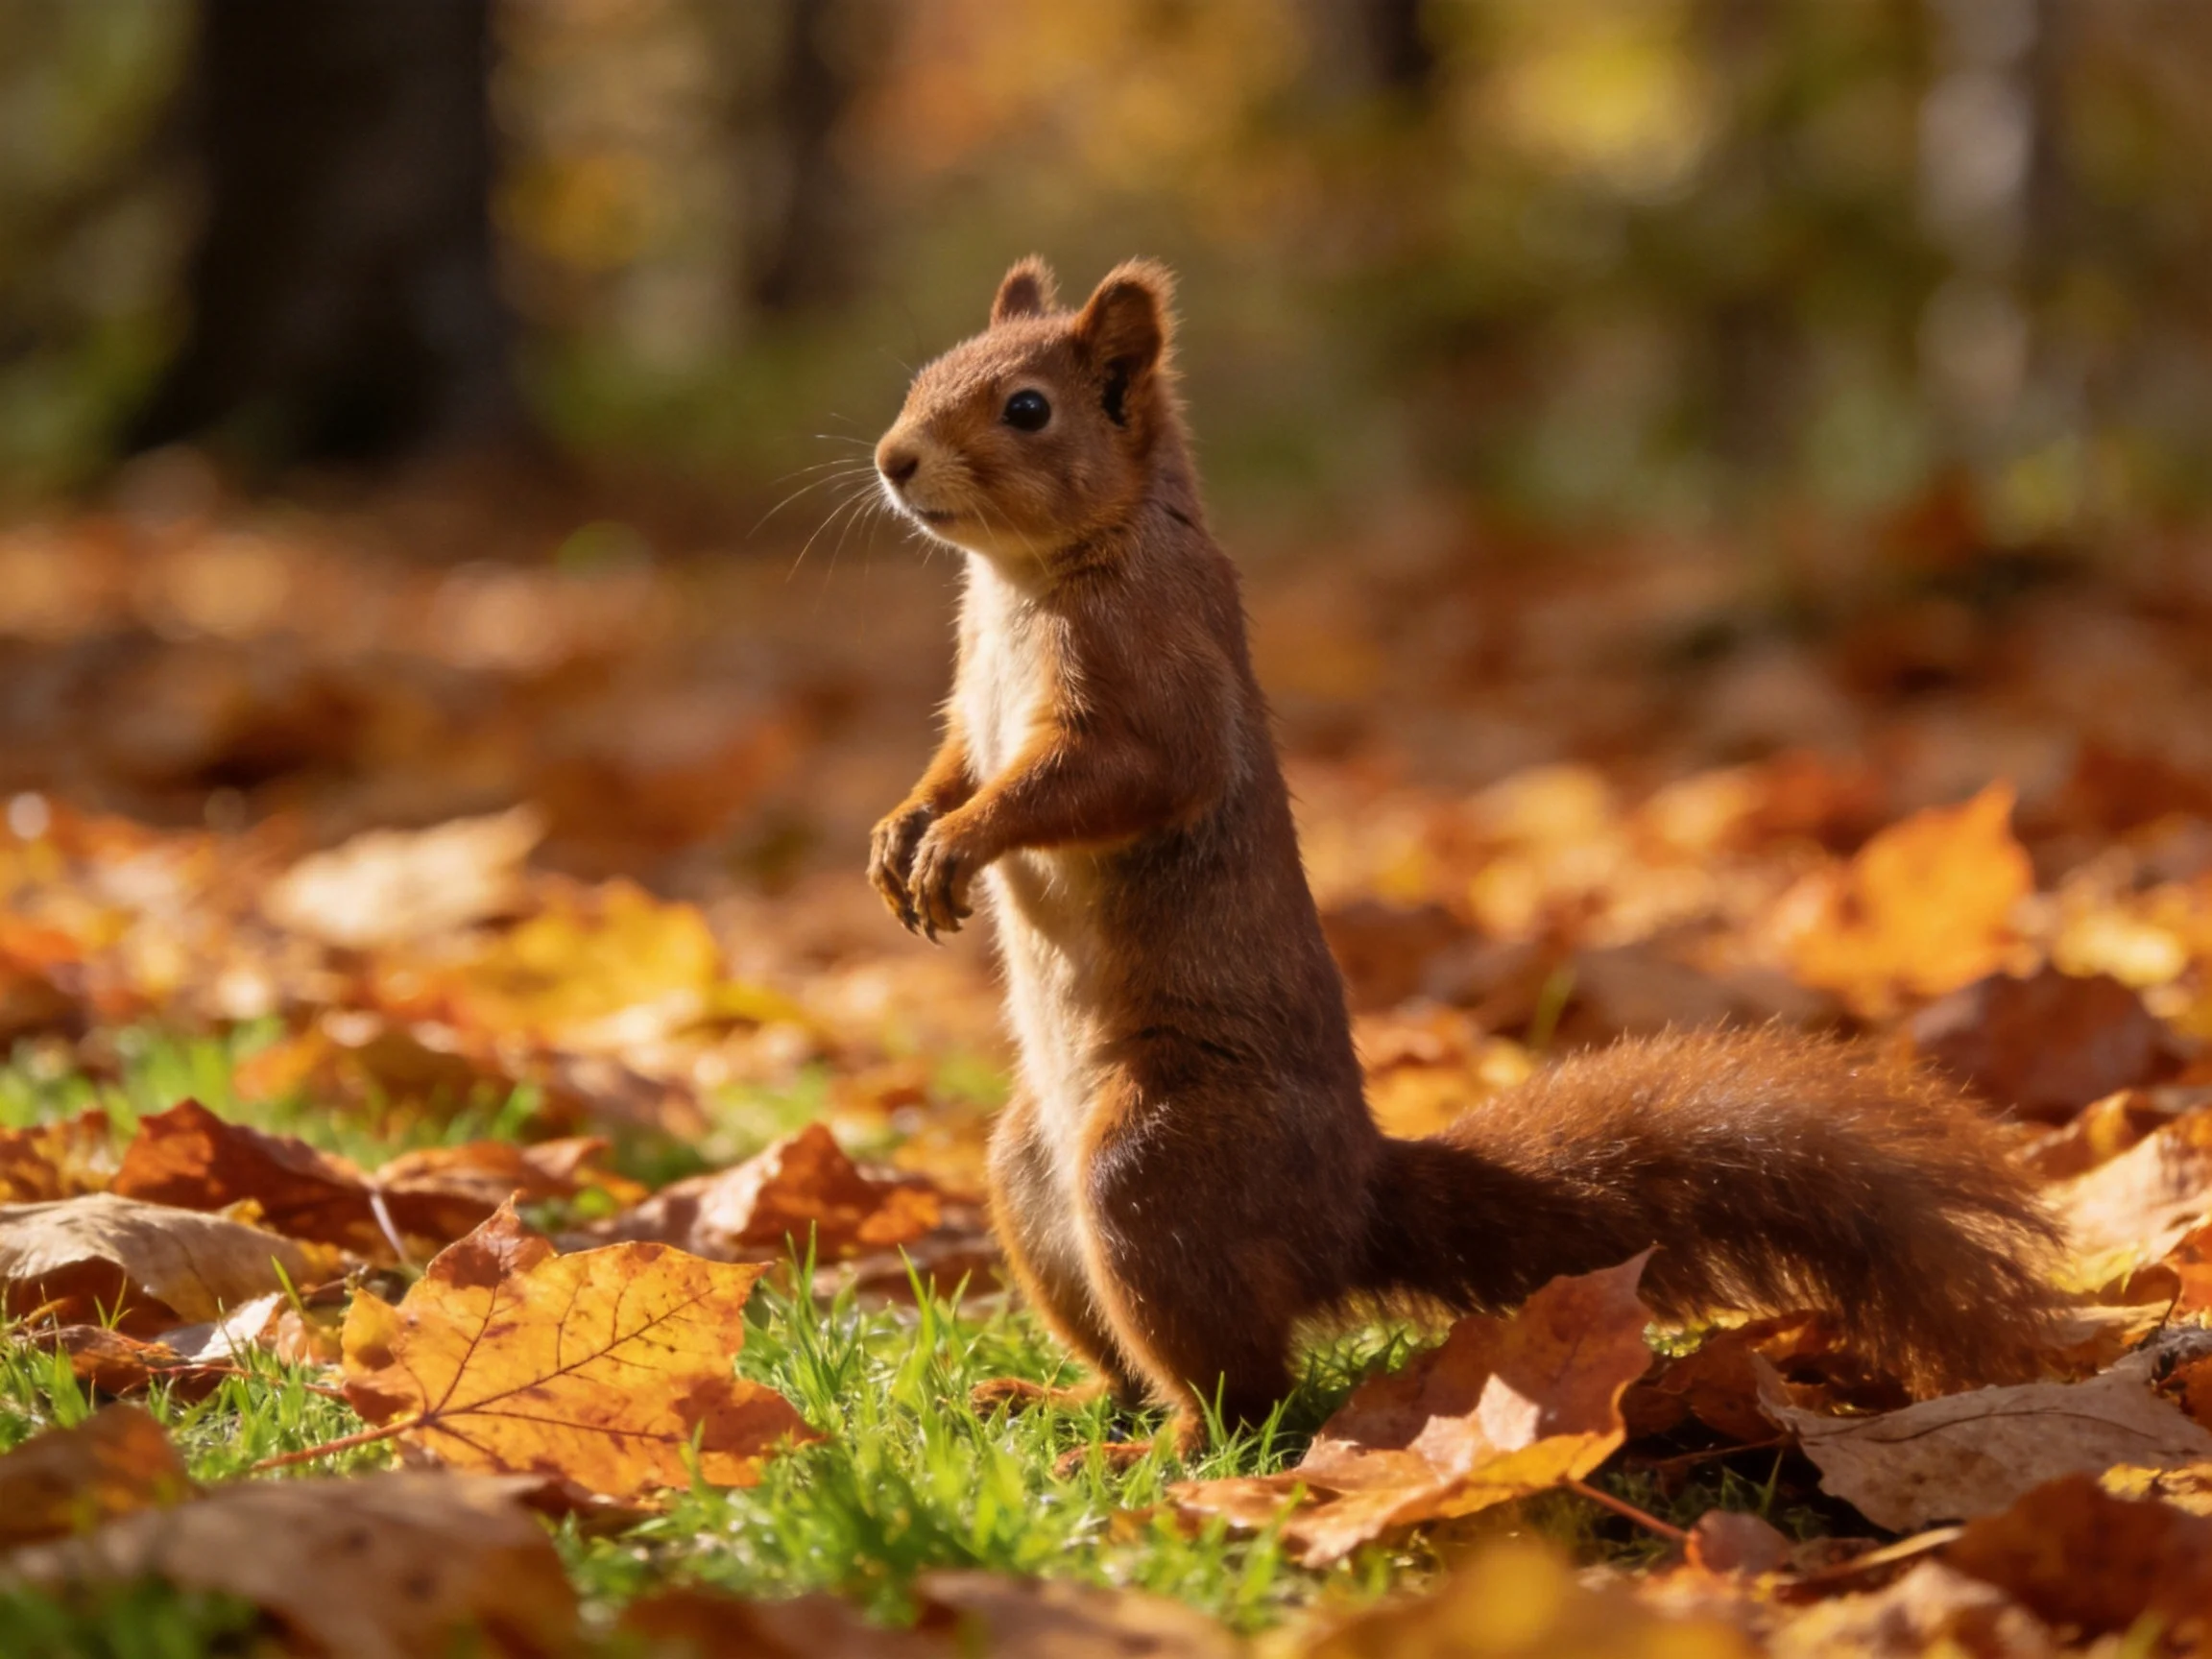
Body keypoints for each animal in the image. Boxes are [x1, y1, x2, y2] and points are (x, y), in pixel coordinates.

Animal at [866, 256, 2063, 1462]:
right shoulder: (974, 702)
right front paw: (901, 835)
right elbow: (955, 760)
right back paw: (1050, 1401)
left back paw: (1157, 1450)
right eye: (922, 374)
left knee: (1245, 1391)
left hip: (1152, 1169)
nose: (893, 459)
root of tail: (1347, 1209)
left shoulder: (1154, 676)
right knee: (1133, 1360)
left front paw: (961, 842)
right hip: (1029, 1179)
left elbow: (1106, 779)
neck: (1022, 581)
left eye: (1028, 408)